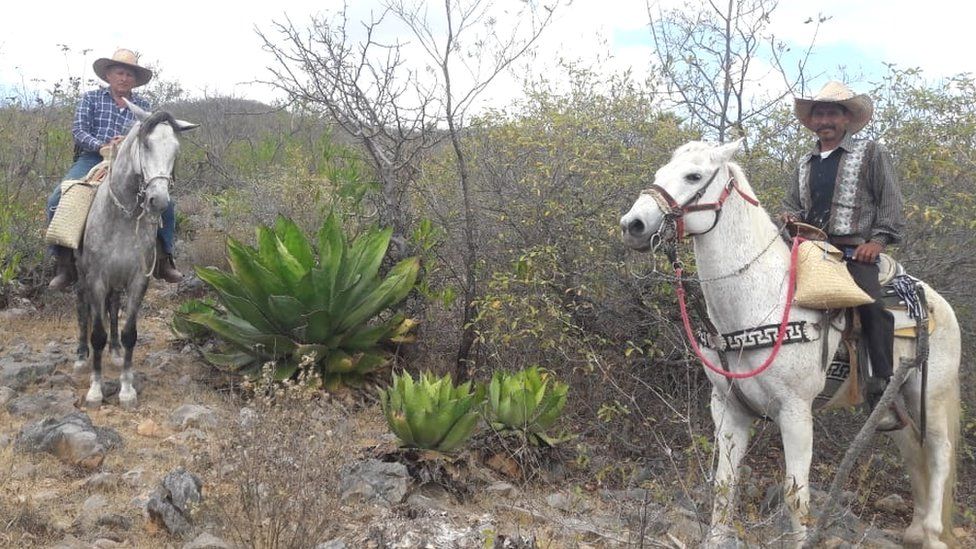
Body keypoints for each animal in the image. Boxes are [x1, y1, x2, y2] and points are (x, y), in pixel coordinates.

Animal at [74, 98, 196, 408]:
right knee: (82, 307)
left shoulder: (138, 279)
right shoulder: (96, 279)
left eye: (176, 150)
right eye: (146, 145)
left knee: (113, 306)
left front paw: (127, 388)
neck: (122, 216)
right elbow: (97, 333)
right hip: (80, 277)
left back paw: (116, 352)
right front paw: (95, 389)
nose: (158, 200)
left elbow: (130, 332)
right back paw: (80, 355)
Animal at [620, 139, 956, 544]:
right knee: (912, 452)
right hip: (894, 403)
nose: (633, 225)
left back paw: (933, 532)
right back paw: (915, 530)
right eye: (660, 174)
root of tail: (937, 303)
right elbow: (724, 484)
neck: (760, 301)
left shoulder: (795, 413)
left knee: (939, 451)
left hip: (931, 396)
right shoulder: (728, 409)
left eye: (694, 176)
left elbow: (796, 496)